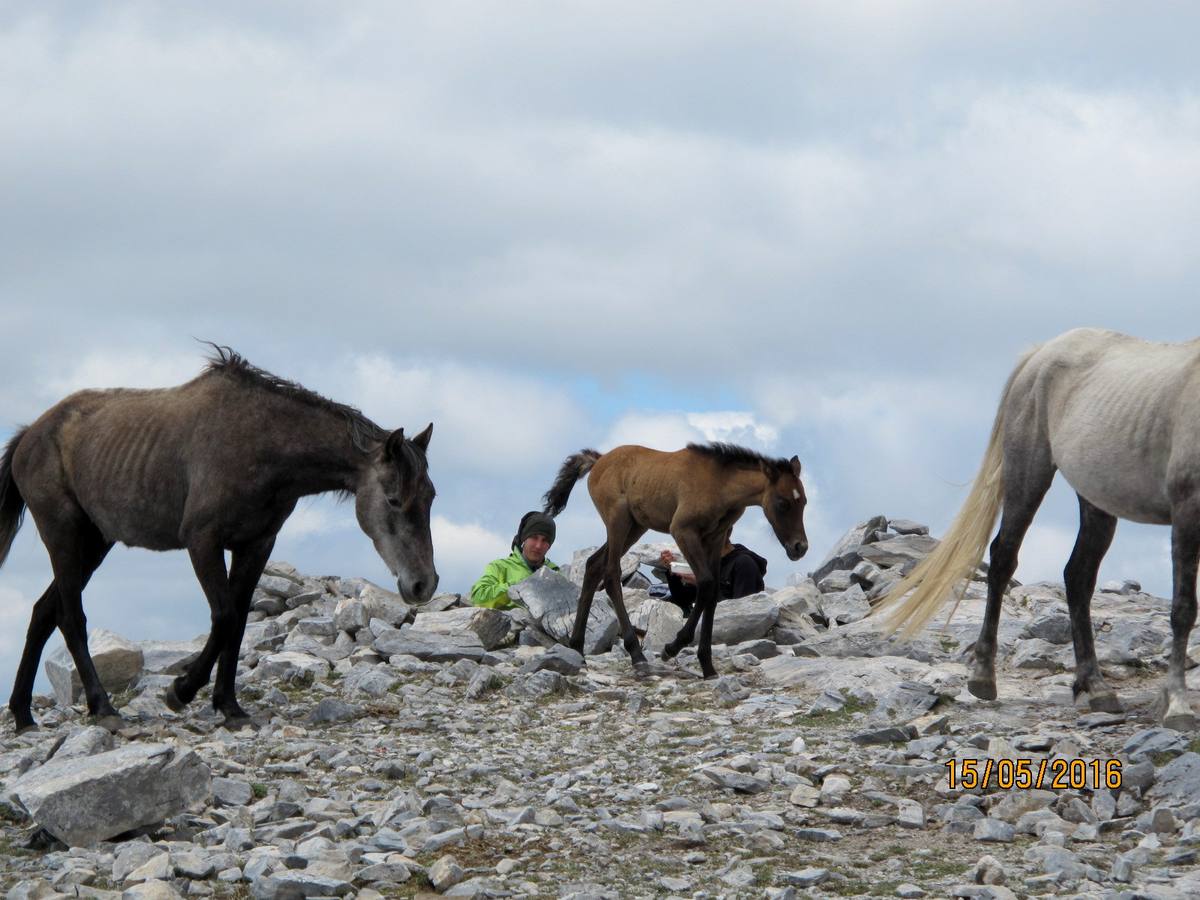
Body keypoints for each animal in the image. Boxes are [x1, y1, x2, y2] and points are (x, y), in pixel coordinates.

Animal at [0, 348, 441, 734]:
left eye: (431, 497)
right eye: (393, 499)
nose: (423, 584)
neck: (261, 443)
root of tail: (29, 435)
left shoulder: (256, 545)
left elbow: (239, 621)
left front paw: (229, 707)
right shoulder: (203, 541)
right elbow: (225, 616)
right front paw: (180, 691)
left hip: (94, 543)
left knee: (43, 612)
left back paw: (23, 715)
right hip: (63, 534)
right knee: (70, 617)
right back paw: (103, 707)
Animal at [878, 328, 1195, 734]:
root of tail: (1040, 352)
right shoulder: (1186, 511)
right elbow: (1184, 608)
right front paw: (1179, 707)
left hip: (1095, 499)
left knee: (1077, 577)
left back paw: (1095, 686)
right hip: (1028, 473)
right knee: (1003, 558)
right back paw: (984, 678)